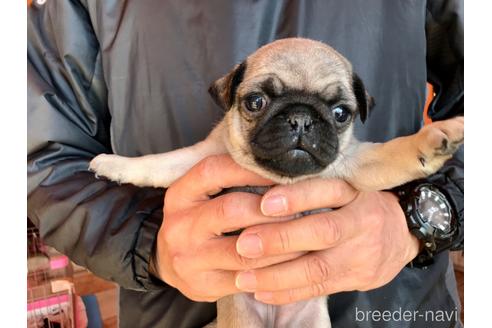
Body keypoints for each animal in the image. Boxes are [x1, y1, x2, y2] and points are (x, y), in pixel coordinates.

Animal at [89, 37, 466, 326]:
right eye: (256, 101)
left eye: (341, 113)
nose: (300, 118)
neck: (278, 180)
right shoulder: (202, 158)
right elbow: (158, 163)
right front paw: (113, 163)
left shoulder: (357, 164)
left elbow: (396, 153)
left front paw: (439, 136)